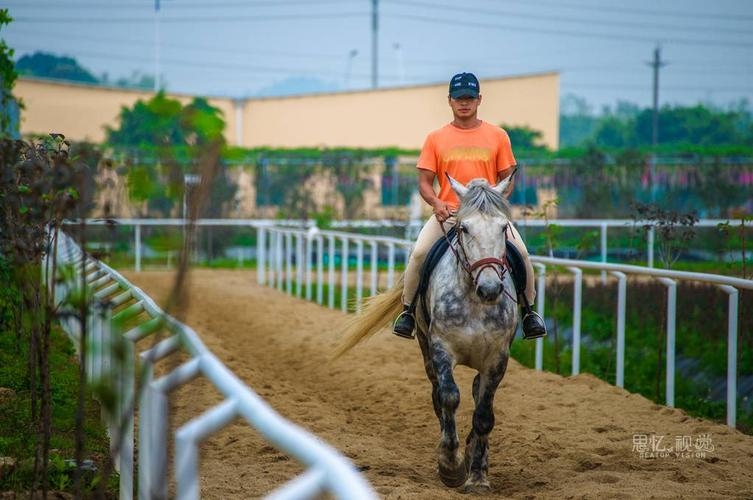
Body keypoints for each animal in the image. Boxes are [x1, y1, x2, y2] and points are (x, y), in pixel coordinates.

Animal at [334, 176, 516, 492]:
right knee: (437, 395)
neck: (474, 299)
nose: (490, 289)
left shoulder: (497, 358)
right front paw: (450, 466)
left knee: (476, 393)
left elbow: (483, 415)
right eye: (464, 228)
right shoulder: (441, 347)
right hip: (424, 345)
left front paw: (477, 476)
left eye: (503, 228)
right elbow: (448, 397)